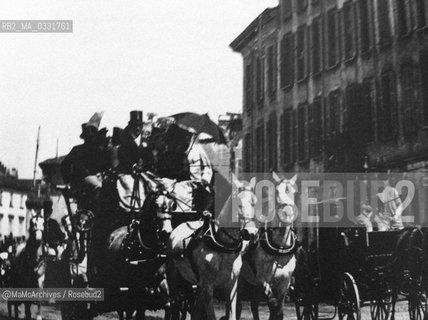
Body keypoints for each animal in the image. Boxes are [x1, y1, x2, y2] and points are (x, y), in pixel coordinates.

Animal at [166, 176, 256, 318]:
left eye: (254, 203)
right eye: (238, 204)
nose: (251, 232)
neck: (223, 245)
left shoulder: (232, 284)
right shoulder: (208, 285)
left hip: (198, 285)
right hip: (173, 278)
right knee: (175, 305)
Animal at [237, 174, 298, 318]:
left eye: (293, 192)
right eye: (276, 192)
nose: (287, 212)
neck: (279, 249)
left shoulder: (284, 284)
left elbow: (278, 310)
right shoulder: (262, 280)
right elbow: (273, 304)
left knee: (254, 306)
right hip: (241, 281)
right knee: (238, 306)